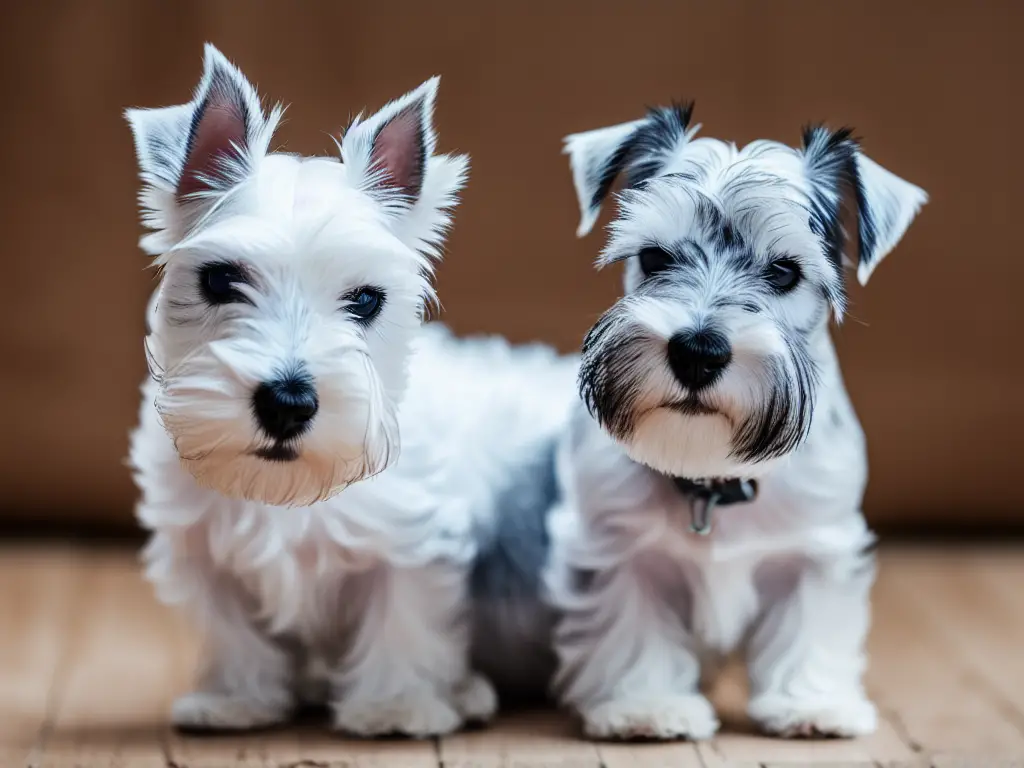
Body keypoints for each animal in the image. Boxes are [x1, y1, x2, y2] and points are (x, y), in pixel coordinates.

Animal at [121, 43, 577, 741]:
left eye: (366, 300)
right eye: (220, 280)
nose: (287, 403)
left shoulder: (413, 544)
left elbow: (402, 623)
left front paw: (393, 709)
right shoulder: (203, 551)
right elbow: (233, 631)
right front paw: (235, 701)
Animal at [544, 102, 929, 741]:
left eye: (784, 271)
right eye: (654, 257)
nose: (697, 351)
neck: (714, 479)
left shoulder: (817, 546)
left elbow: (810, 624)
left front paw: (812, 703)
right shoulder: (620, 548)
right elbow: (633, 626)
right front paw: (647, 705)